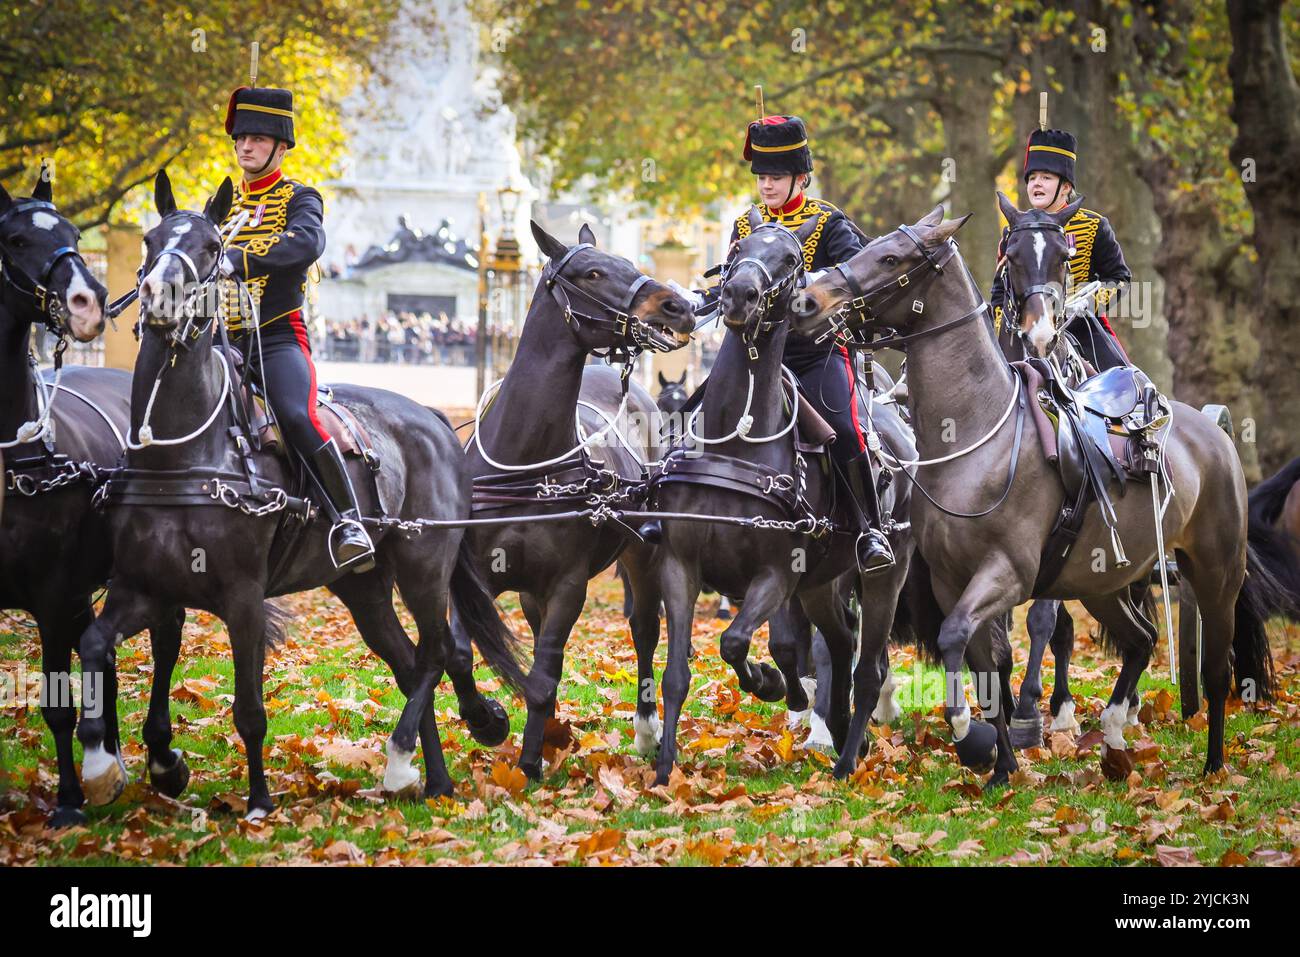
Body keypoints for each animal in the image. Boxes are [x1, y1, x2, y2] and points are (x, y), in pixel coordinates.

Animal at [0, 170, 178, 821]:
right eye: (14, 238)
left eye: (76, 234)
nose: (88, 302)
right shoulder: (67, 595)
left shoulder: (55, 596)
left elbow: (58, 703)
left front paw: (71, 799)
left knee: (164, 641)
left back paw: (155, 755)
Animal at [76, 171, 538, 816]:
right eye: (150, 239)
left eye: (213, 248)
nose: (160, 298)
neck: (181, 452)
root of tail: (436, 419)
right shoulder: (143, 586)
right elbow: (95, 645)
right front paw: (108, 766)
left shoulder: (243, 596)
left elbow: (249, 709)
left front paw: (258, 801)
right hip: (363, 588)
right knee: (410, 660)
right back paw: (435, 781)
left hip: (423, 566)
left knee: (437, 650)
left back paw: (402, 761)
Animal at [447, 222, 696, 780]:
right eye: (594, 272)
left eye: (629, 262)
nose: (680, 306)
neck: (526, 465)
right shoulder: (479, 576)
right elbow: (460, 654)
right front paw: (488, 720)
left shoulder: (566, 585)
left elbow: (545, 671)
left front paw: (529, 762)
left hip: (641, 554)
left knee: (644, 629)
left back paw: (646, 726)